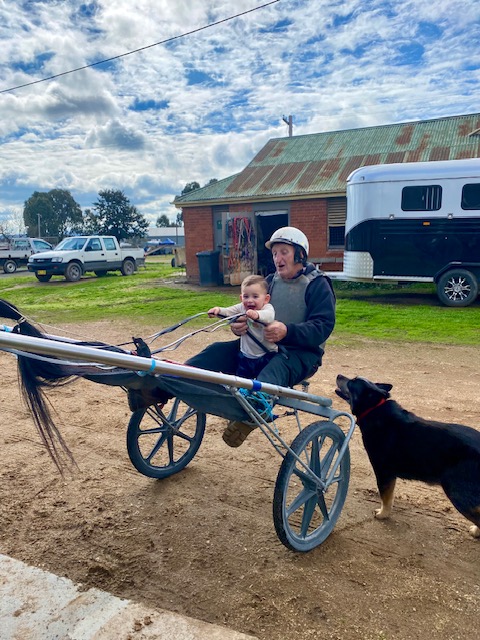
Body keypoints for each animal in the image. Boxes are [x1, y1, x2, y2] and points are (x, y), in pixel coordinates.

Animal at [334, 372, 480, 536]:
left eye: (352, 382)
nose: (339, 375)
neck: (374, 408)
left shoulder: (384, 472)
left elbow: (386, 497)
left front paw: (383, 514)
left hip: (458, 492)